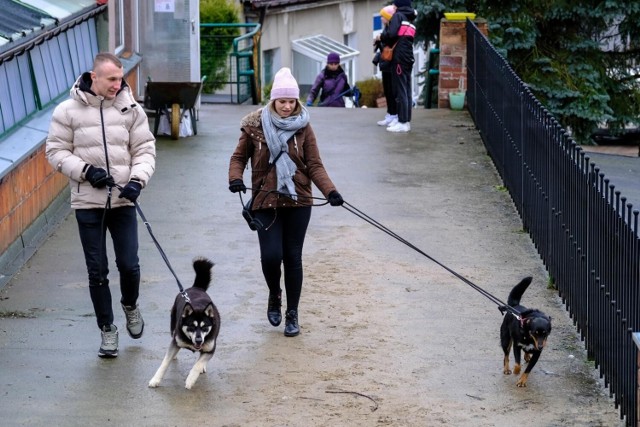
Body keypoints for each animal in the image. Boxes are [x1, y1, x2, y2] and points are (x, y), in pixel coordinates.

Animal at [149, 258, 221, 392]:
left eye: (204, 327)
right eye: (192, 326)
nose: (198, 340)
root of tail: (196, 287)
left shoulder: (210, 348)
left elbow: (198, 365)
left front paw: (190, 380)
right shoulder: (176, 341)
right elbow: (165, 362)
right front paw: (155, 379)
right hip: (173, 327)